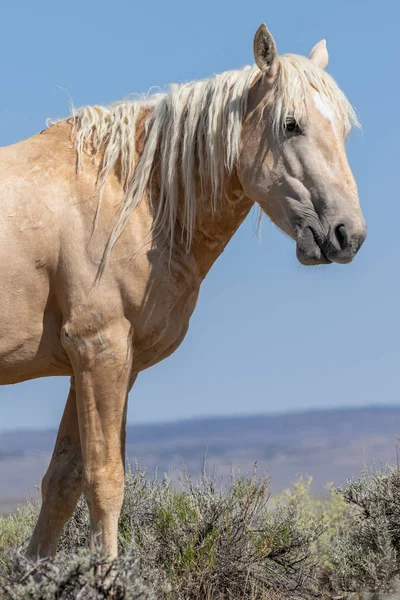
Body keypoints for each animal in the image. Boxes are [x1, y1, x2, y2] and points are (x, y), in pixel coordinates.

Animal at [0, 23, 368, 556]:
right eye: (291, 124)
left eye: (341, 129)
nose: (347, 235)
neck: (131, 199)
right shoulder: (98, 350)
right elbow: (105, 481)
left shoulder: (105, 363)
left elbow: (63, 484)